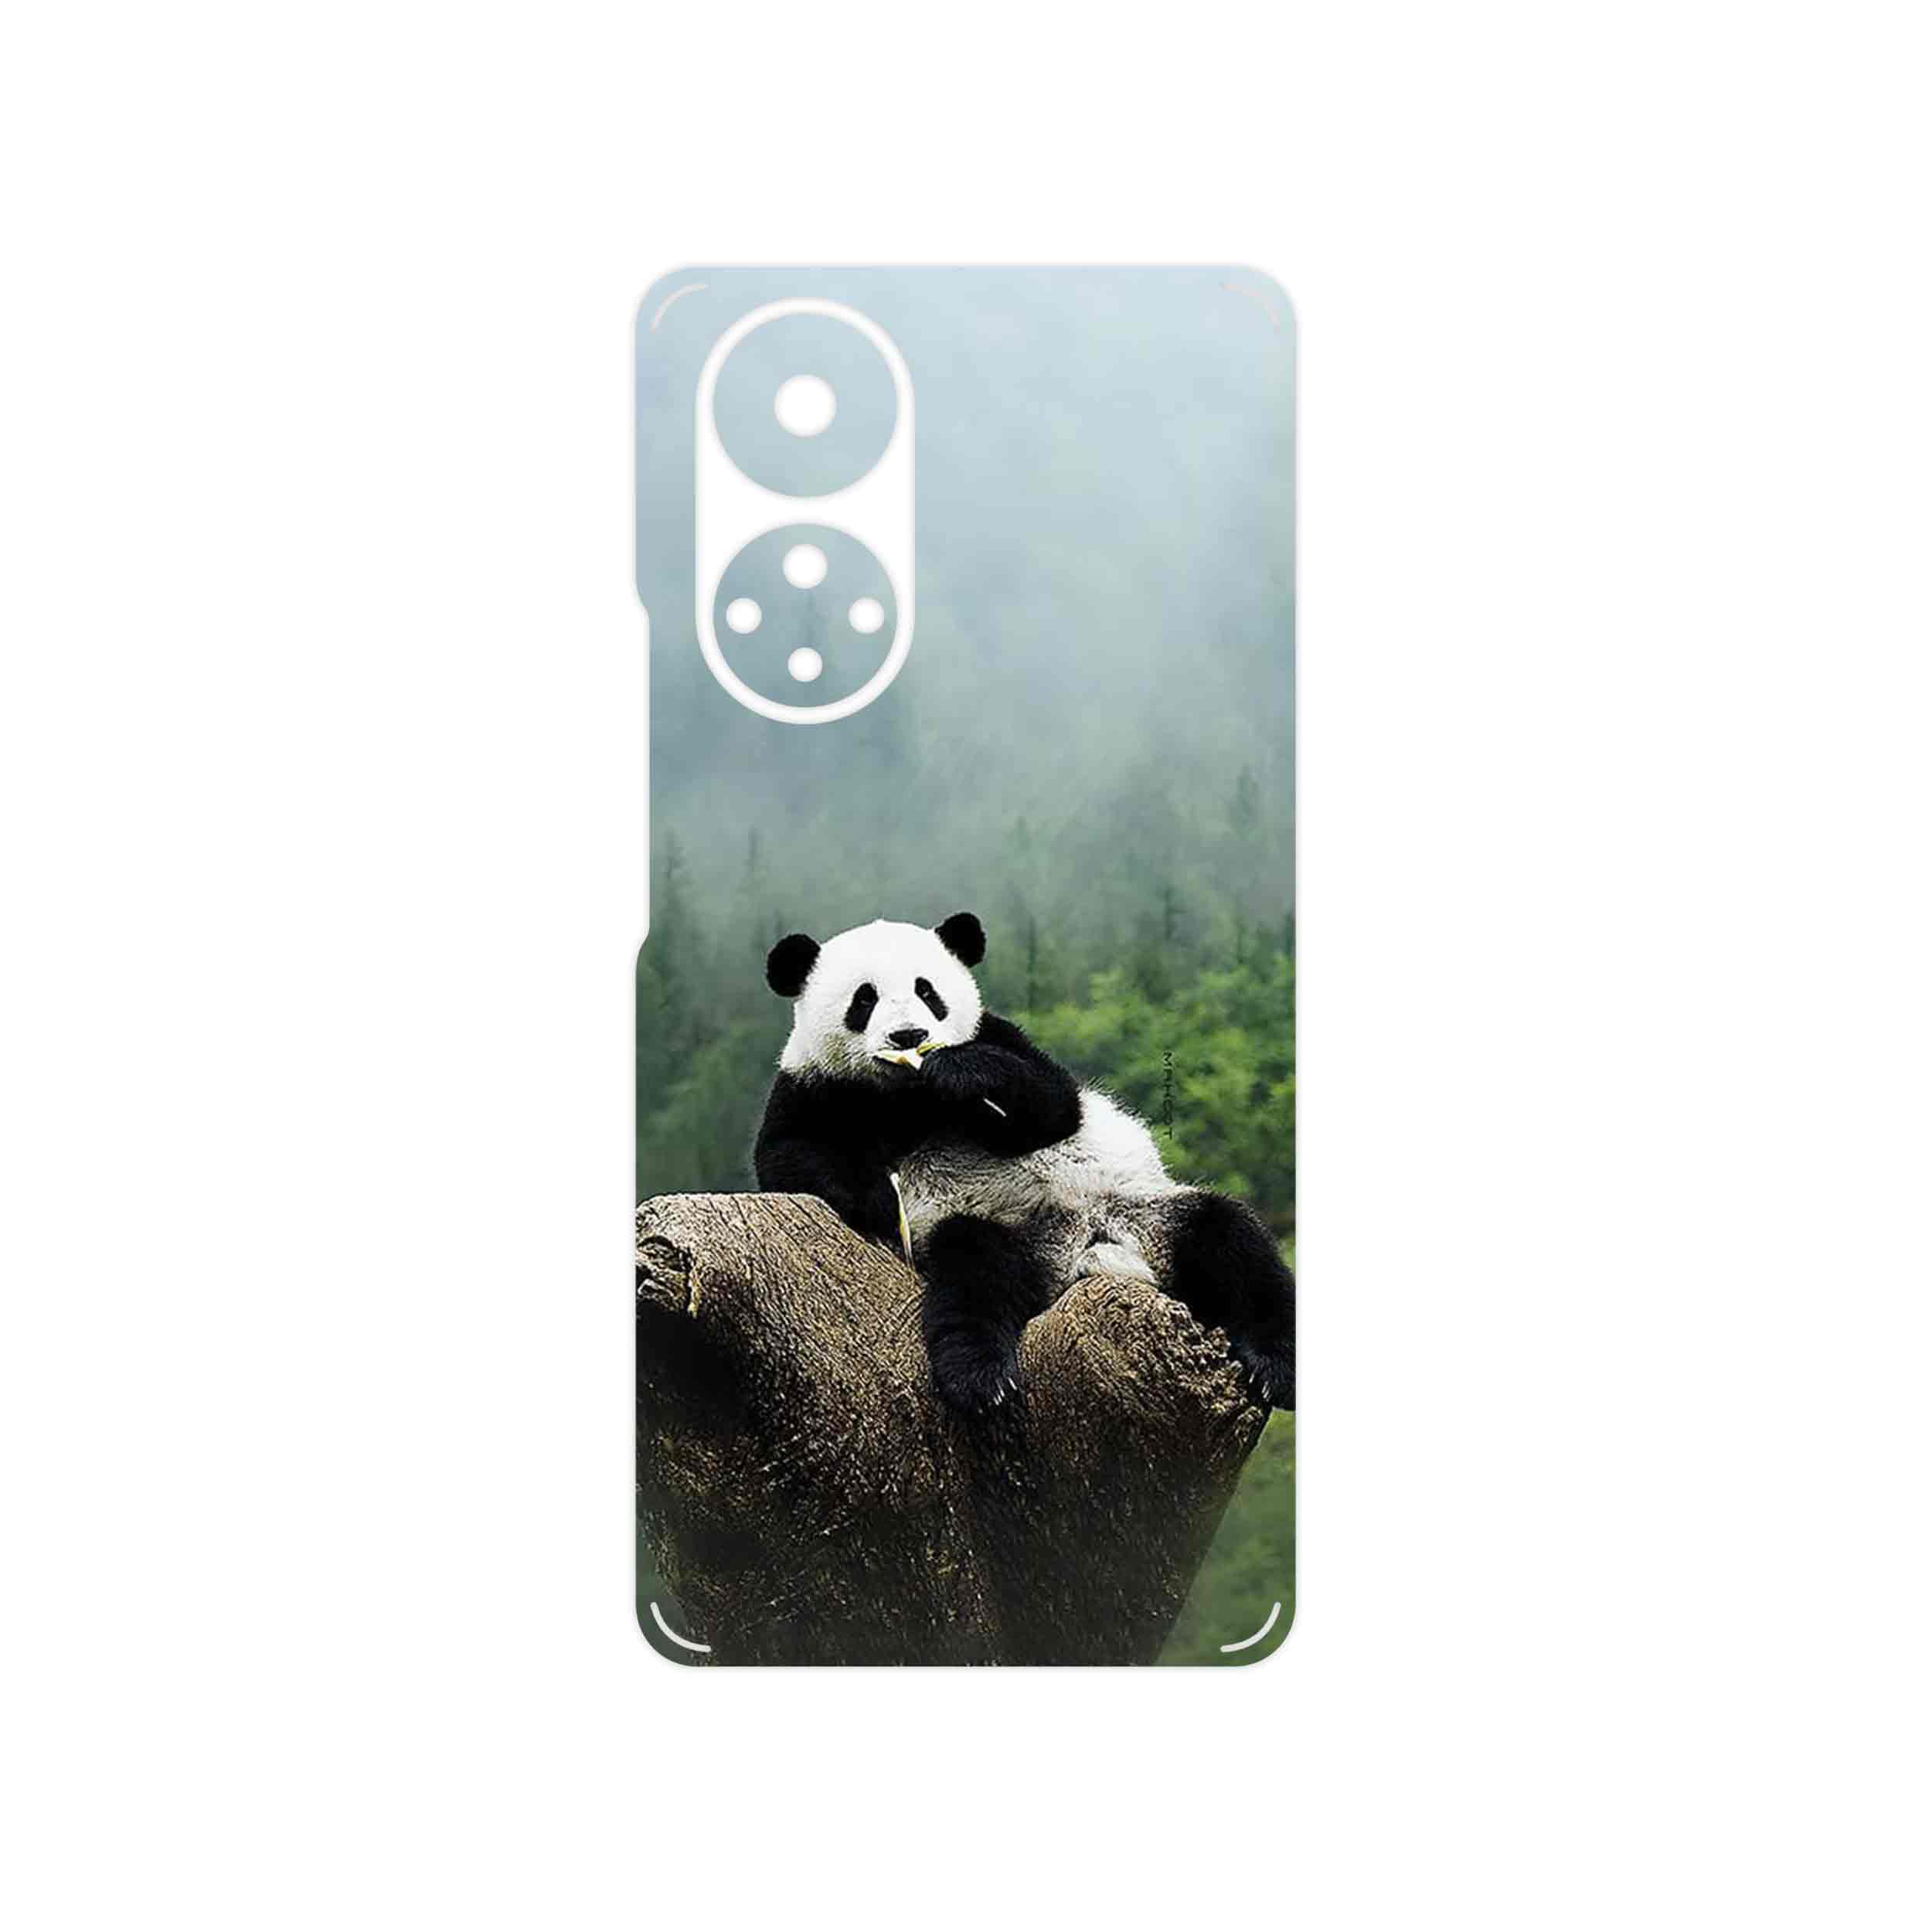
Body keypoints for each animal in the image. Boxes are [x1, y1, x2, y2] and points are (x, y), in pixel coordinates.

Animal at [754, 911, 1295, 1415]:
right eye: (864, 999)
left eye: (927, 991)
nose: (909, 1036)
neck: (908, 1097)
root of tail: (1087, 1253)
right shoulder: (812, 1087)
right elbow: (787, 1156)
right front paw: (880, 1200)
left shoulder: (999, 1036)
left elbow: (1054, 1104)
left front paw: (960, 1071)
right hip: (1001, 1232)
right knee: (973, 1275)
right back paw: (982, 1379)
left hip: (1146, 1211)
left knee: (1232, 1242)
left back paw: (1277, 1367)